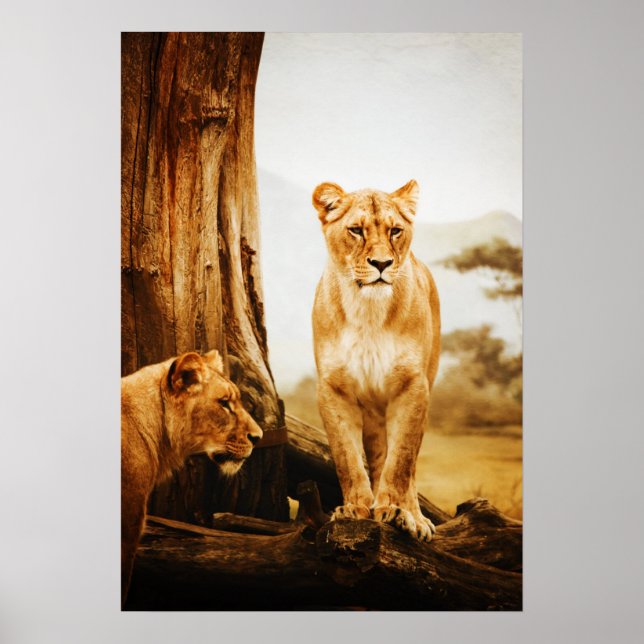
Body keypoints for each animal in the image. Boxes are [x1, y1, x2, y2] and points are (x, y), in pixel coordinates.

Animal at [311, 179, 440, 542]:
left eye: (395, 231)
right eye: (356, 230)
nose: (381, 264)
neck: (367, 311)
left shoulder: (412, 386)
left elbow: (400, 462)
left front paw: (396, 511)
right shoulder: (333, 389)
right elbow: (347, 457)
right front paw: (354, 509)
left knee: (409, 464)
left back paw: (415, 517)